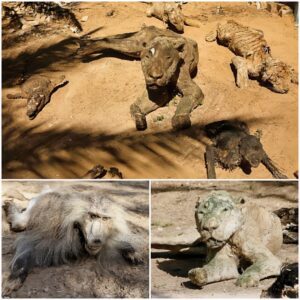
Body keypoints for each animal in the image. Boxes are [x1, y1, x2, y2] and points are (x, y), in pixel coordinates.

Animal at [2, 189, 143, 296]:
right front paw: (16, 274)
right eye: (93, 216)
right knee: (20, 223)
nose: (97, 239)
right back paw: (10, 208)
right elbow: (28, 245)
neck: (78, 230)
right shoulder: (59, 235)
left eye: (104, 219)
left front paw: (130, 250)